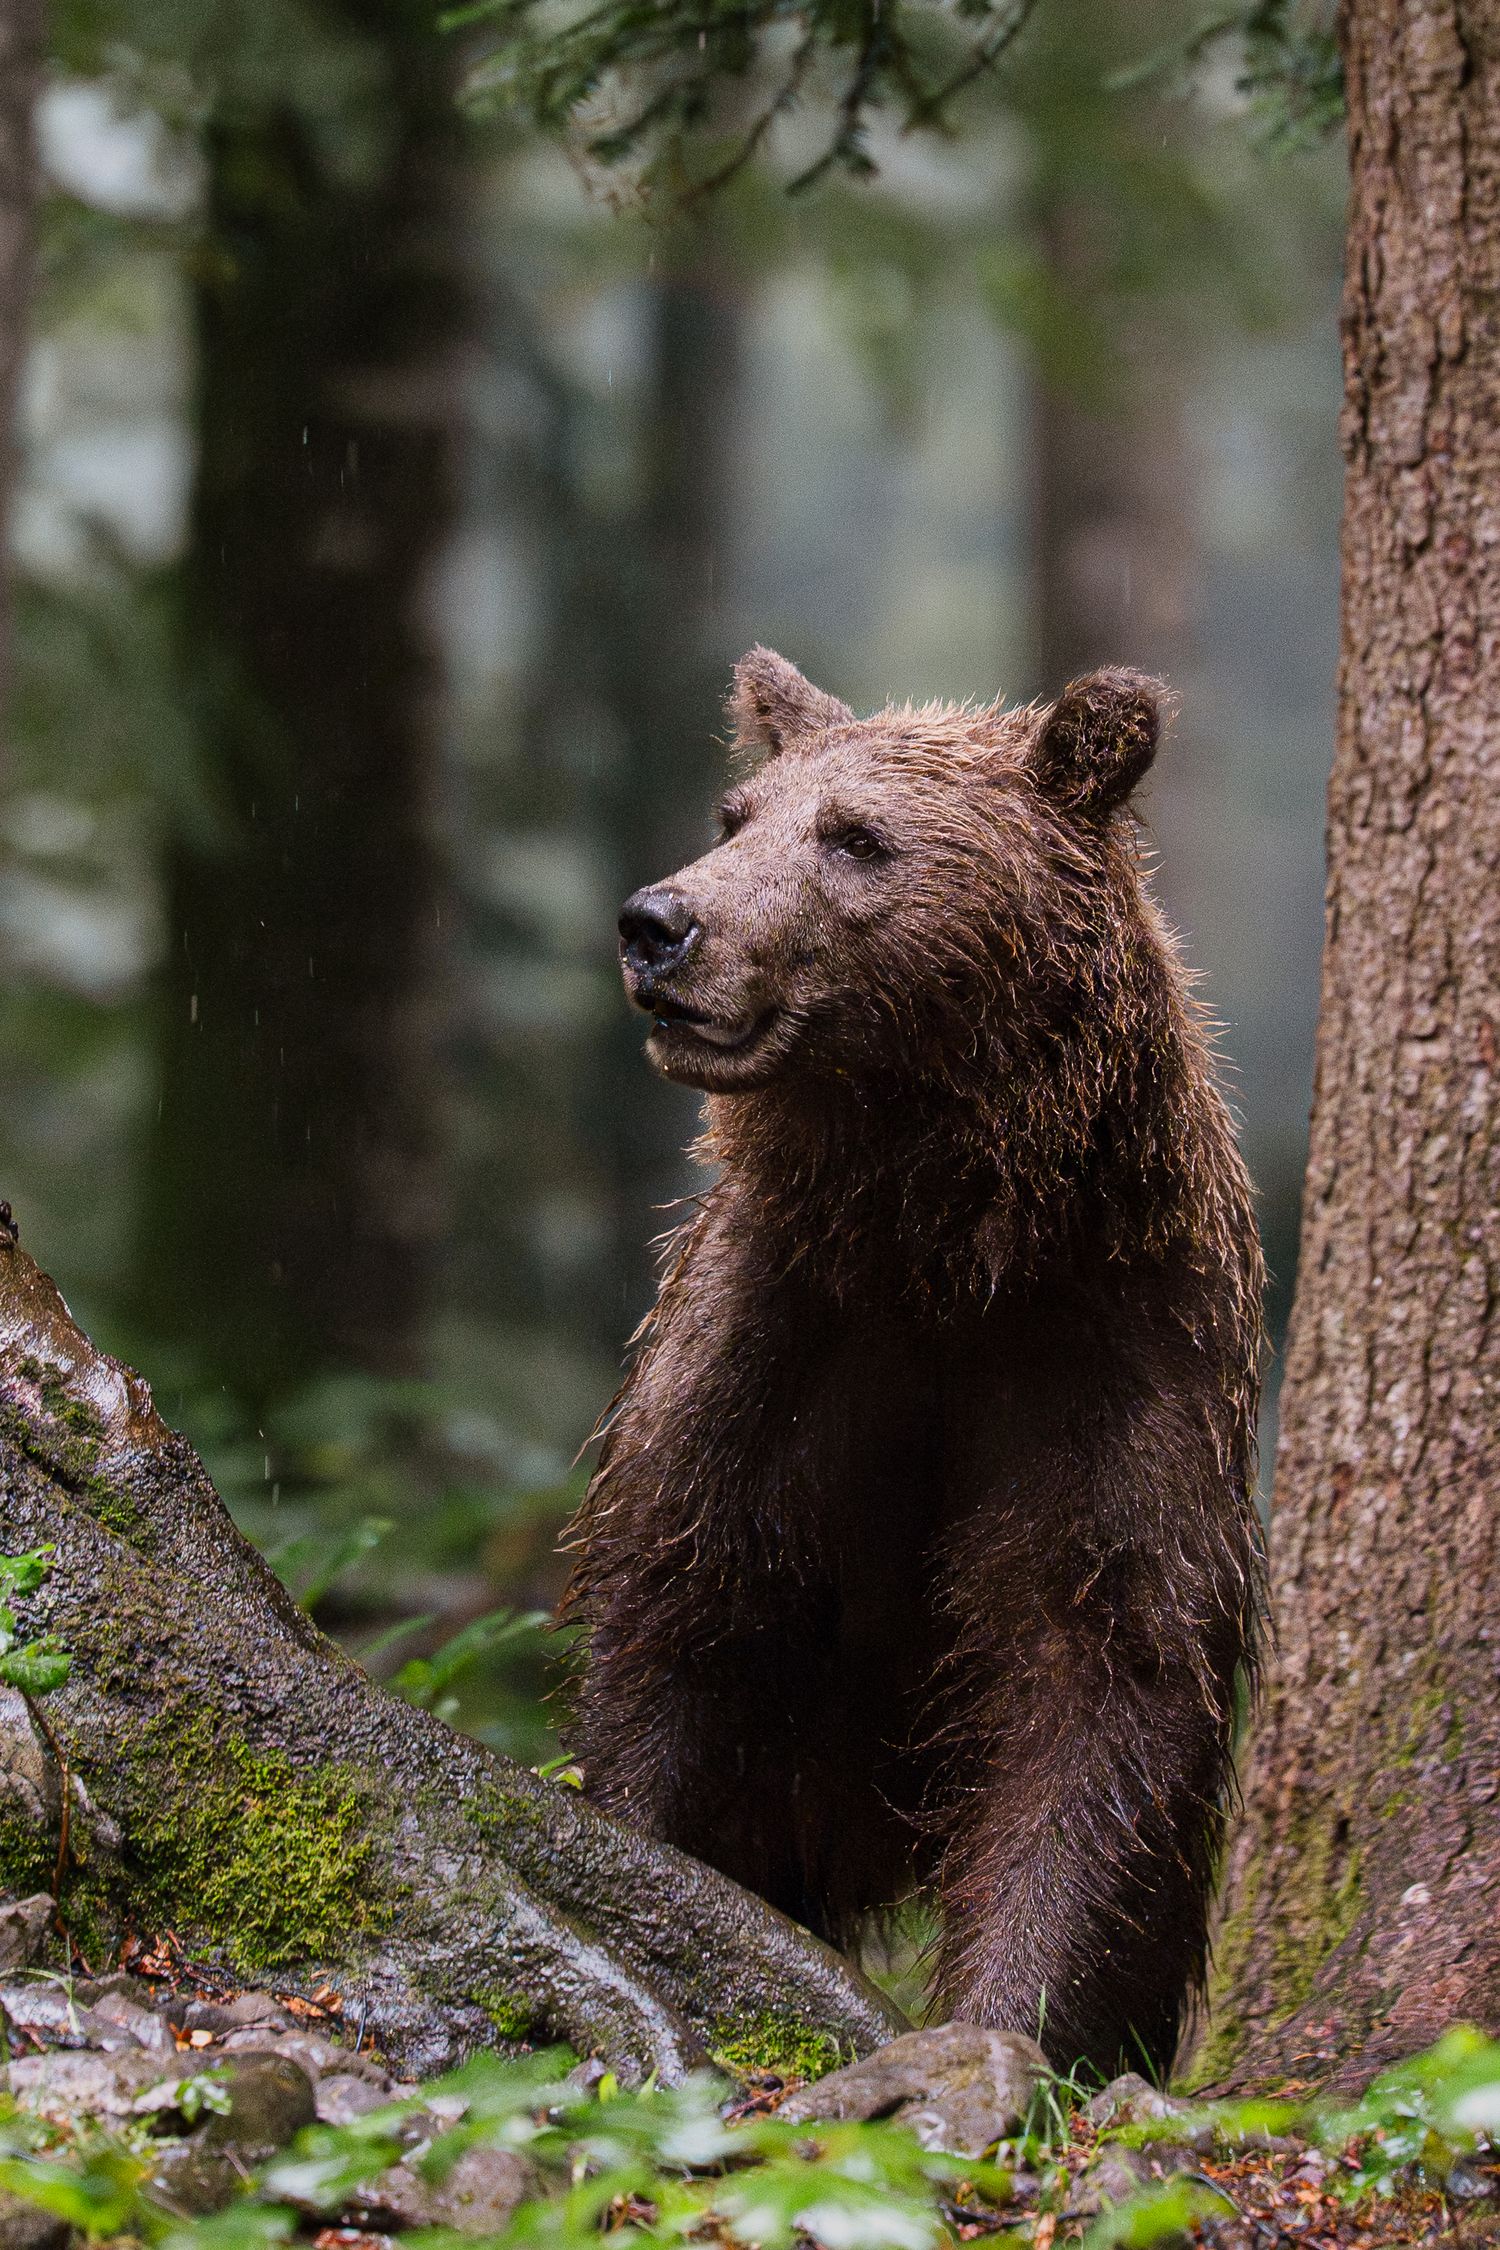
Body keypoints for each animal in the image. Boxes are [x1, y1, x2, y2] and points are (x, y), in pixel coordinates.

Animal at [562, 648, 1265, 2078]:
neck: (942, 1240)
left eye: (857, 838)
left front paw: (1010, 2026)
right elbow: (675, 1622)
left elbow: (1096, 1686)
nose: (659, 923)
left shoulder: (1112, 1359)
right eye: (737, 813)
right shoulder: (777, 1338)